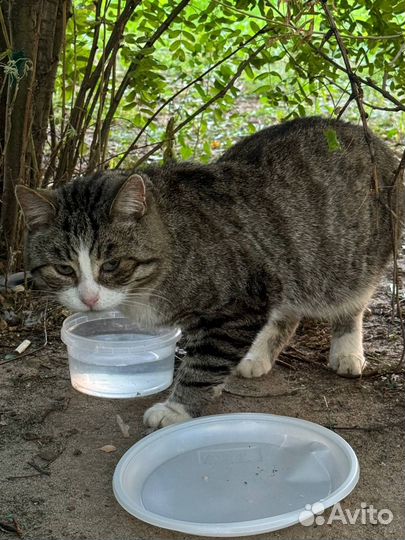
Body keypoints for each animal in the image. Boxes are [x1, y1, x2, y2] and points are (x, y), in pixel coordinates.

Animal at [15, 116, 400, 428]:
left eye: (111, 265)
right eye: (63, 269)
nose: (89, 299)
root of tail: (369, 136)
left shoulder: (240, 303)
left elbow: (204, 365)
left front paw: (177, 409)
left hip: (349, 262)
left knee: (350, 302)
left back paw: (346, 350)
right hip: (289, 264)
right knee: (287, 310)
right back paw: (258, 354)